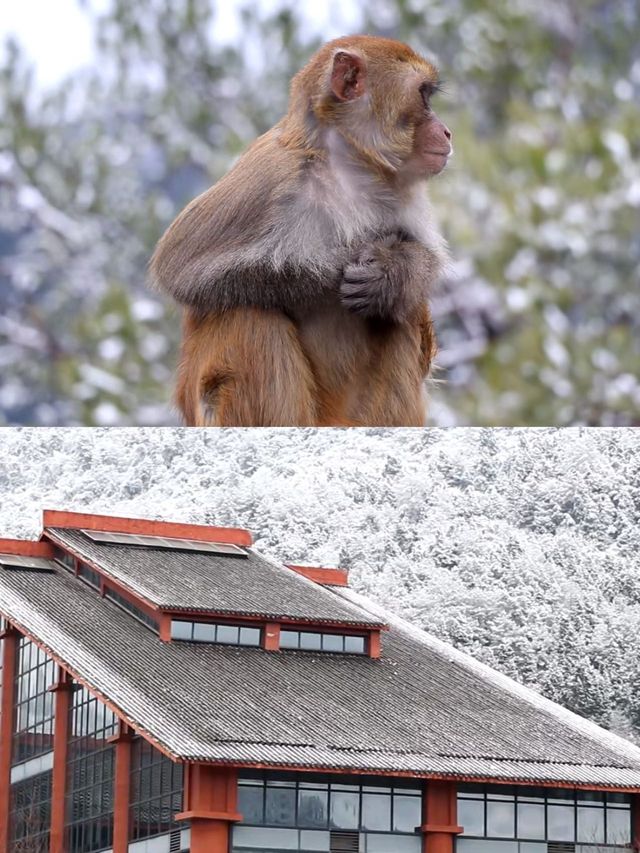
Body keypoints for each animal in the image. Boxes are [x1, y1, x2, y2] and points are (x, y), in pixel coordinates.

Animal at [149, 34, 450, 426]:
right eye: (423, 96)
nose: (446, 131)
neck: (347, 168)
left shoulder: (404, 196)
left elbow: (419, 275)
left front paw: (393, 273)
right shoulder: (271, 174)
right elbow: (178, 267)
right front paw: (325, 275)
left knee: (405, 314)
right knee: (248, 313)